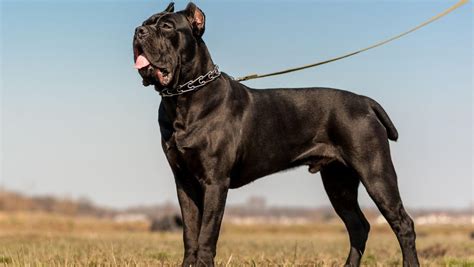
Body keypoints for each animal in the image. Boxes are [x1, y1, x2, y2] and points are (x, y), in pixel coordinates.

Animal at [132, 2, 418, 267]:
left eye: (167, 26)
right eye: (145, 22)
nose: (138, 31)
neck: (183, 97)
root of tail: (364, 101)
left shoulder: (215, 181)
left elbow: (206, 235)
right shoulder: (184, 182)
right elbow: (190, 233)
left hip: (376, 173)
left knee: (403, 224)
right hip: (339, 183)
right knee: (358, 227)